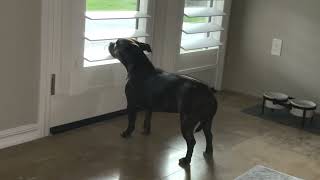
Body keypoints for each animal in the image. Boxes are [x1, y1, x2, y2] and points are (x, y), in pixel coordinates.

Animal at [109, 38, 218, 167]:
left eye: (117, 44)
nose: (110, 43)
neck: (139, 68)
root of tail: (208, 92)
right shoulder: (149, 107)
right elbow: (147, 119)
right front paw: (146, 131)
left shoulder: (131, 105)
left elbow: (131, 122)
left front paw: (126, 133)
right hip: (206, 120)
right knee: (209, 135)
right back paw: (208, 151)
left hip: (187, 122)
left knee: (192, 142)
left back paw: (186, 160)